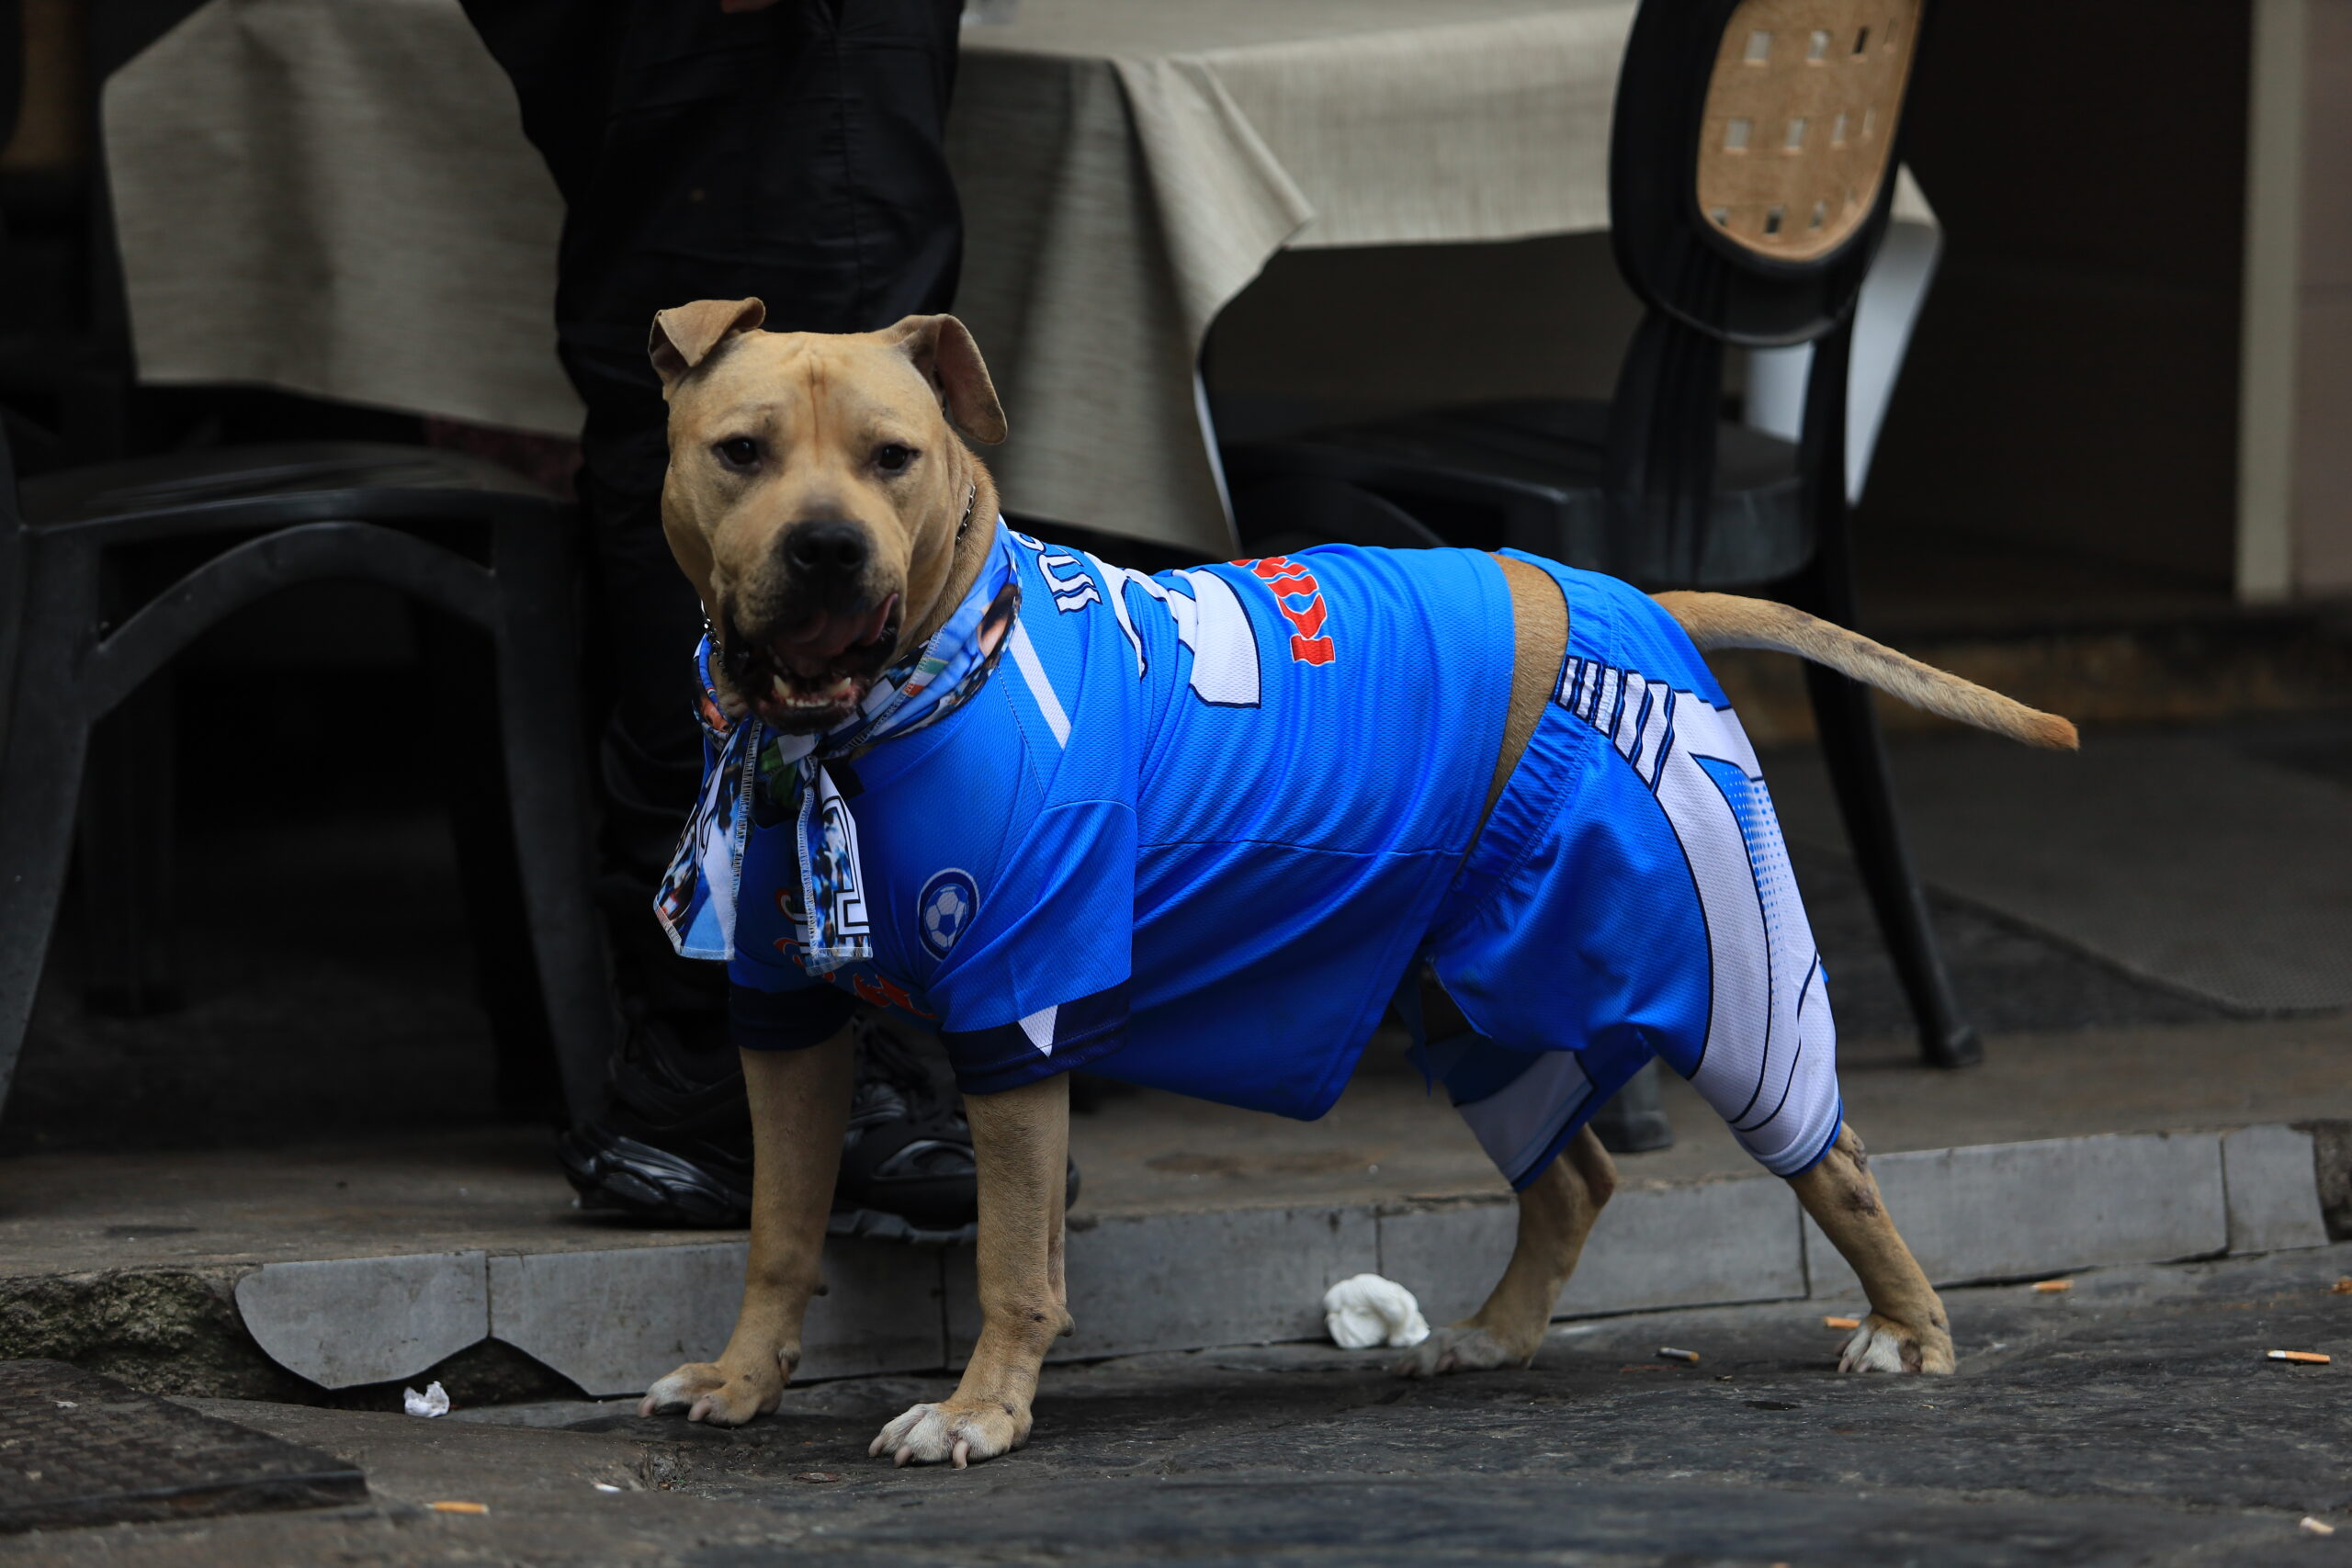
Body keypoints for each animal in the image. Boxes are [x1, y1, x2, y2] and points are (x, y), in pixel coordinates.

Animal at [630, 303, 2079, 1476]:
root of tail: (1636, 597)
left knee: (1828, 1149)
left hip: (1715, 972)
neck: (879, 709)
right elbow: (779, 1225)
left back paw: (1907, 1327)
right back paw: (1492, 1336)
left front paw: (979, 1410)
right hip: (1477, 1000)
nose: (828, 547)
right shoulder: (783, 1022)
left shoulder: (1019, 1007)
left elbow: (1012, 1258)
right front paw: (745, 1378)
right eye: (741, 451)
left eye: (894, 458)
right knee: (1574, 1176)